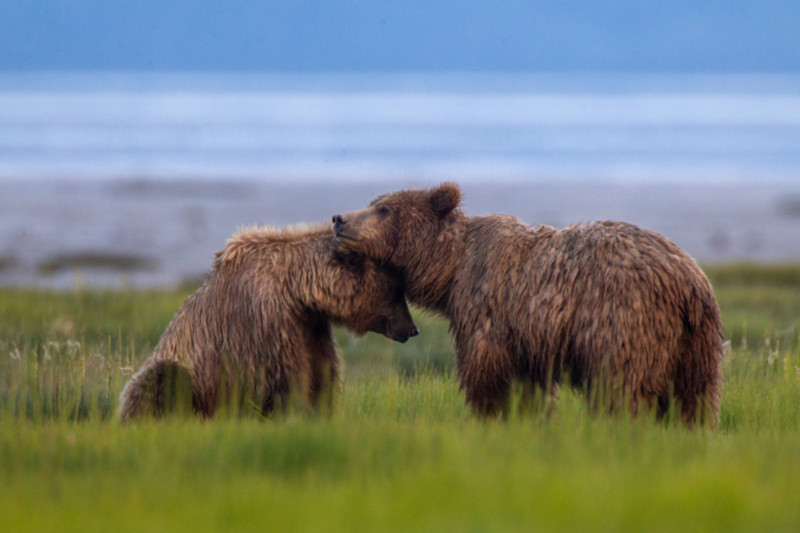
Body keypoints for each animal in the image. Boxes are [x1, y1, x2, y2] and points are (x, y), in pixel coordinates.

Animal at [119, 221, 422, 420]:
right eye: (397, 289)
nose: (412, 328)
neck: (297, 291)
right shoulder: (268, 323)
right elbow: (281, 380)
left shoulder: (311, 328)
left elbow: (323, 374)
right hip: (187, 373)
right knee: (160, 380)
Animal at [332, 183, 724, 424]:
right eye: (373, 203)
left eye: (384, 209)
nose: (339, 219)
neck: (452, 269)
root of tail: (686, 280)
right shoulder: (528, 341)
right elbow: (529, 387)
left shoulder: (488, 307)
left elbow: (487, 374)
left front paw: (491, 417)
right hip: (696, 342)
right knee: (696, 397)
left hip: (623, 319)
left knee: (620, 385)